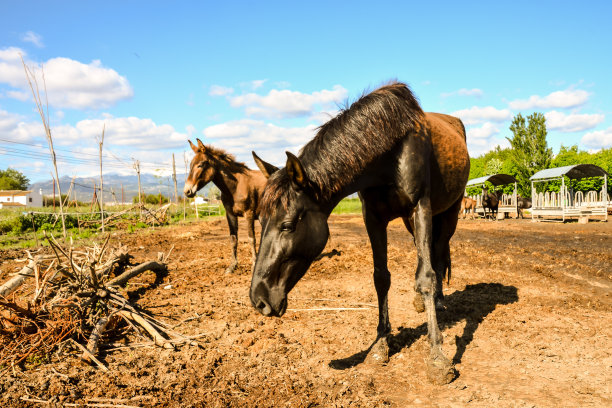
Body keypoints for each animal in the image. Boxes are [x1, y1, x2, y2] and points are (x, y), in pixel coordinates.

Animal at [183, 139, 266, 274]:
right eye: (190, 165)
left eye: (201, 164)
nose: (187, 191)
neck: (235, 187)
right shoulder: (230, 214)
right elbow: (233, 239)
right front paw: (232, 266)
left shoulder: (249, 214)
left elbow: (251, 239)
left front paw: (254, 265)